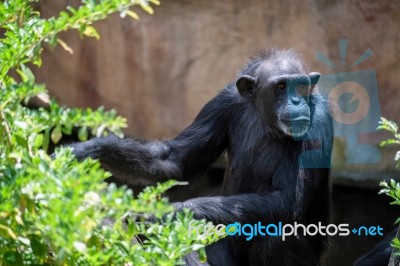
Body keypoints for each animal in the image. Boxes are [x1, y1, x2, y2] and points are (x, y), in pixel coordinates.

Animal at [69, 48, 334, 264]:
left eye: (300, 85)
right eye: (281, 87)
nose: (296, 100)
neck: (265, 118)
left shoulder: (317, 121)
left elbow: (286, 199)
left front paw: (167, 214)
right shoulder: (221, 104)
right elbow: (177, 159)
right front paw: (87, 150)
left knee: (277, 236)